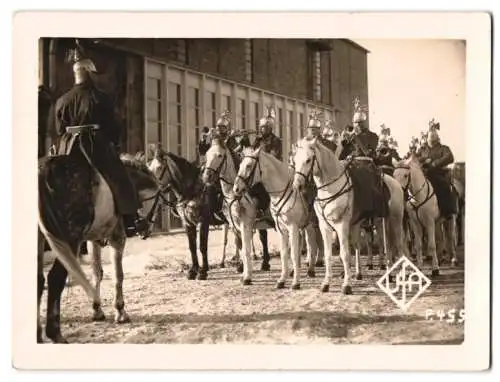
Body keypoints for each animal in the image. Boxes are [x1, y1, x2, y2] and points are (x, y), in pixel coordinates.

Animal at [38, 134, 161, 344]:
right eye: (155, 201)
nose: (146, 228)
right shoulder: (117, 238)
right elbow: (118, 274)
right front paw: (120, 311)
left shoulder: (92, 240)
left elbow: (97, 272)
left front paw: (97, 310)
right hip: (69, 240)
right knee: (55, 279)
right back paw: (55, 334)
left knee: (39, 280)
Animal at [147, 145, 237, 280]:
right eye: (150, 167)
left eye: (159, 167)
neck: (192, 191)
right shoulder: (188, 224)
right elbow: (192, 247)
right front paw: (193, 270)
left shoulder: (203, 222)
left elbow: (202, 246)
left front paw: (203, 271)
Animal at [232, 147, 322, 290]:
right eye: (240, 165)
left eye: (249, 165)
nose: (236, 189)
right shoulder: (280, 228)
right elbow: (283, 253)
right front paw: (281, 280)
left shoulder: (292, 227)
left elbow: (293, 254)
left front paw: (295, 283)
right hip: (309, 224)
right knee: (311, 243)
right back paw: (310, 270)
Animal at [292, 139, 406, 294]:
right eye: (295, 160)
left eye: (308, 160)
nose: (297, 185)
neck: (331, 187)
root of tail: (395, 183)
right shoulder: (324, 226)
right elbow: (328, 255)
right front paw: (326, 283)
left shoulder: (341, 225)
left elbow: (345, 254)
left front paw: (346, 285)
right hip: (377, 222)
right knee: (385, 247)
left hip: (394, 220)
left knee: (397, 246)